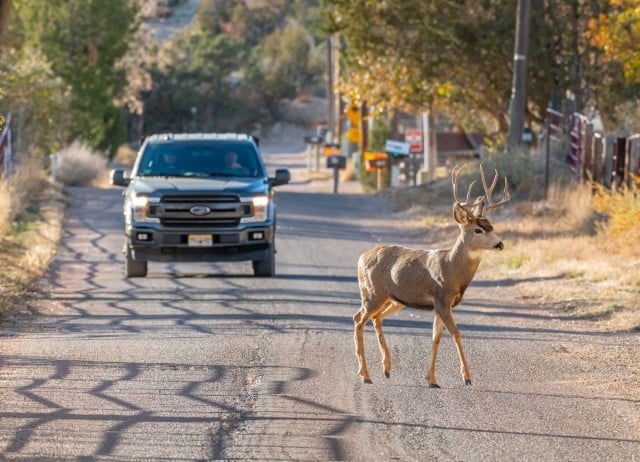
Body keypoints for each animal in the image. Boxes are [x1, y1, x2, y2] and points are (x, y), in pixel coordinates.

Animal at [356, 164, 510, 388]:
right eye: (478, 230)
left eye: (492, 226)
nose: (500, 244)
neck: (451, 270)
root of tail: (361, 258)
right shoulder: (442, 299)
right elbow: (456, 333)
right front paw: (467, 377)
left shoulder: (440, 305)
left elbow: (435, 338)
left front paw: (432, 379)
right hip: (373, 293)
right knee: (359, 320)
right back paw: (366, 375)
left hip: (393, 299)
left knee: (373, 318)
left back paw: (386, 368)